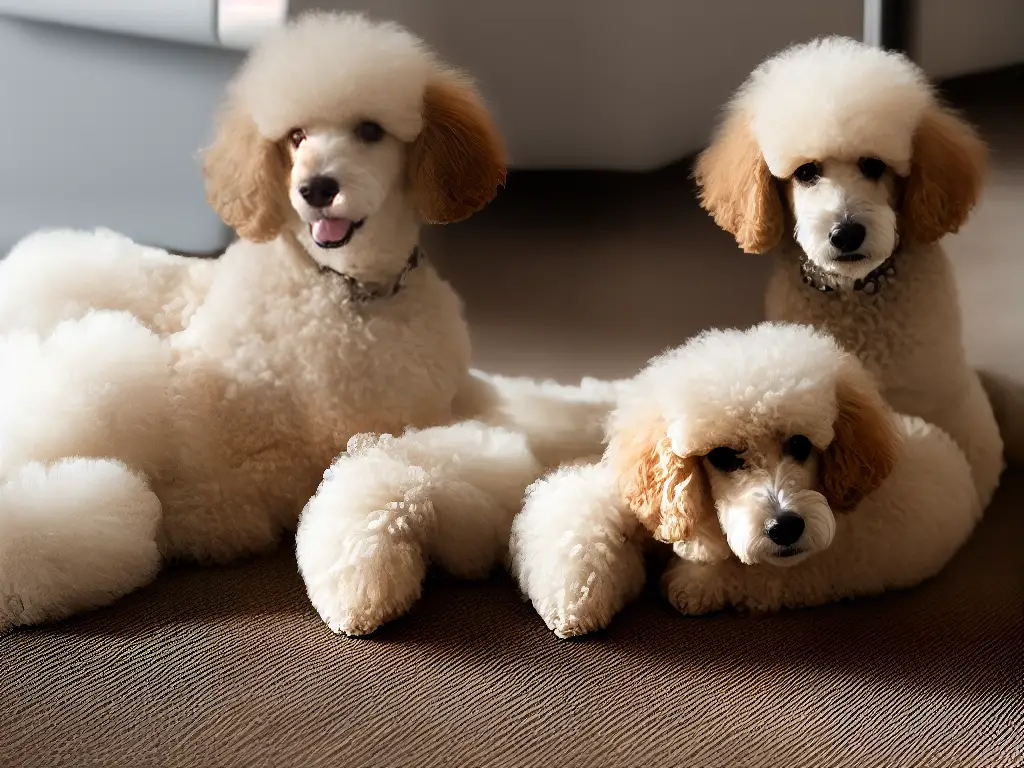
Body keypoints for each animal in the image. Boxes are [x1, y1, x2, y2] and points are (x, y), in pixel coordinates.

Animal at [516, 323, 978, 638]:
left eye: (800, 443)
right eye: (722, 457)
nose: (785, 527)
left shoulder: (815, 564)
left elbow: (747, 573)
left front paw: (693, 585)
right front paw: (574, 598)